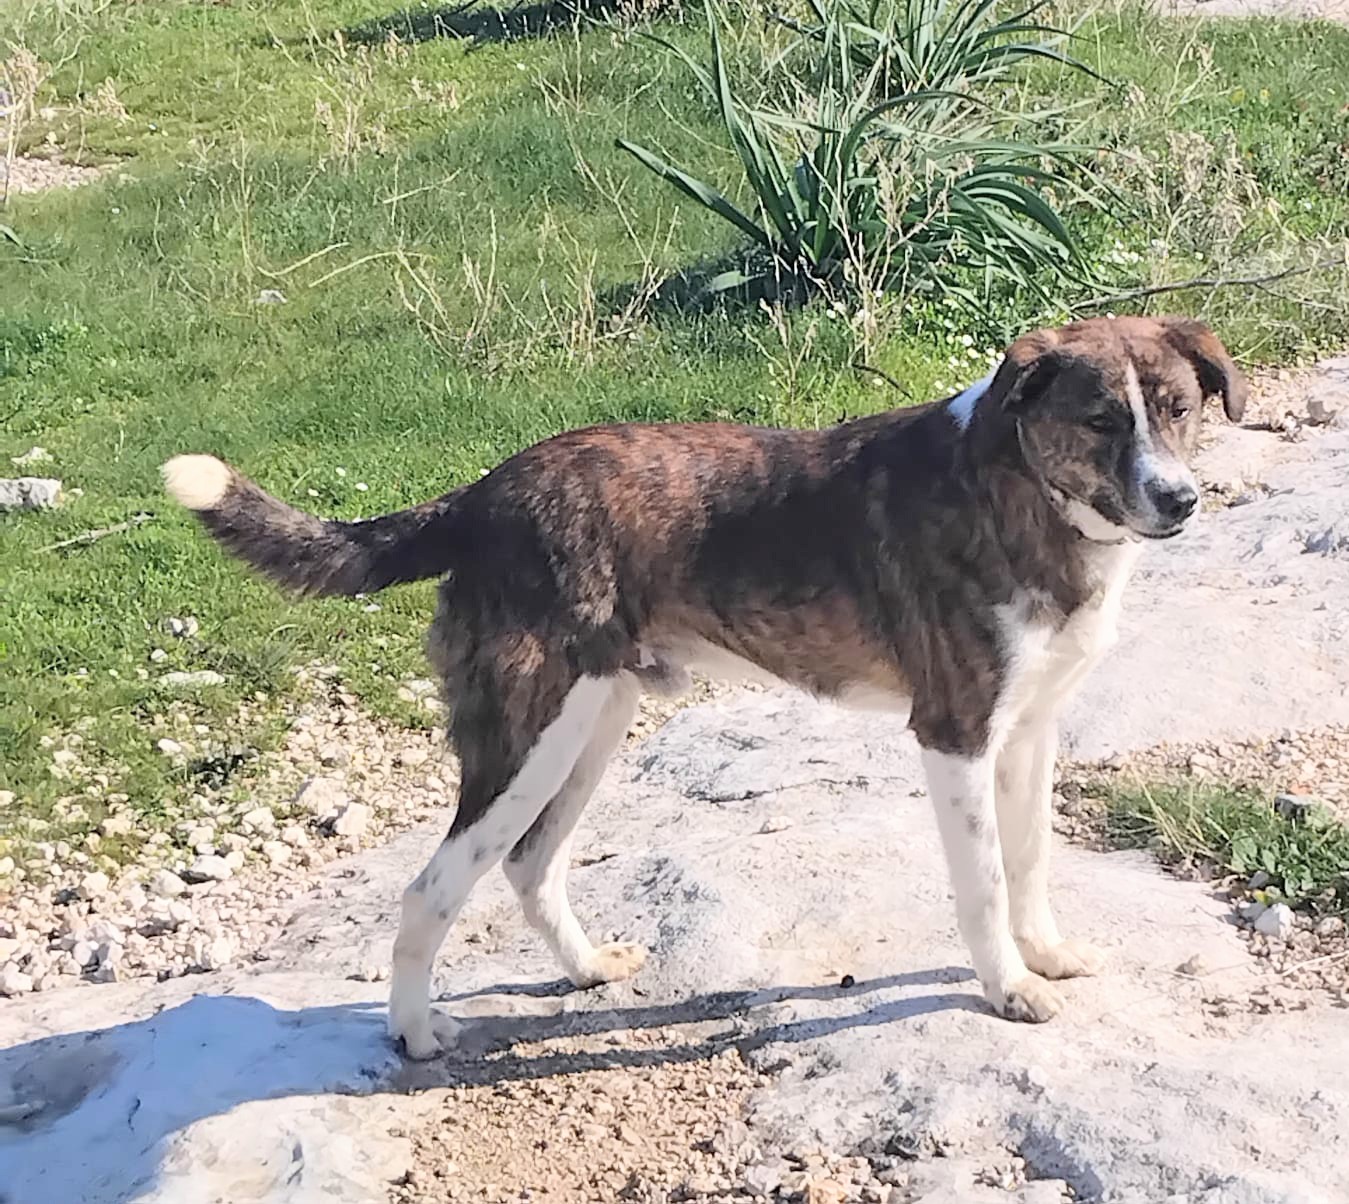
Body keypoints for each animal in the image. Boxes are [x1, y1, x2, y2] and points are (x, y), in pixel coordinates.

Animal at [163, 314, 1246, 1059]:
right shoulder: (954, 735)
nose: (1179, 501)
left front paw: (1042, 953)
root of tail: (477, 496)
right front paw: (1005, 987)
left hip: (595, 719)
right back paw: (415, 1033)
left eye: (1177, 409)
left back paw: (586, 969)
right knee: (434, 884)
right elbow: (981, 881)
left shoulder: (1027, 730)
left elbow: (1026, 863)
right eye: (1099, 421)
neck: (1021, 495)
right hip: (526, 735)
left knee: (530, 863)